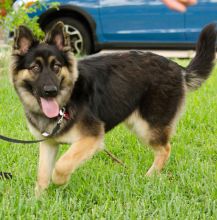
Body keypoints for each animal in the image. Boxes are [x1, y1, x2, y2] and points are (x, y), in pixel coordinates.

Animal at [11, 22, 217, 197]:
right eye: (35, 67)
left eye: (56, 67)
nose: (51, 91)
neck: (66, 100)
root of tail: (178, 68)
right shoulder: (49, 144)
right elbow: (42, 174)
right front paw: (37, 199)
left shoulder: (91, 138)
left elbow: (61, 165)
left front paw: (59, 181)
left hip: (146, 127)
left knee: (166, 149)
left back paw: (150, 177)